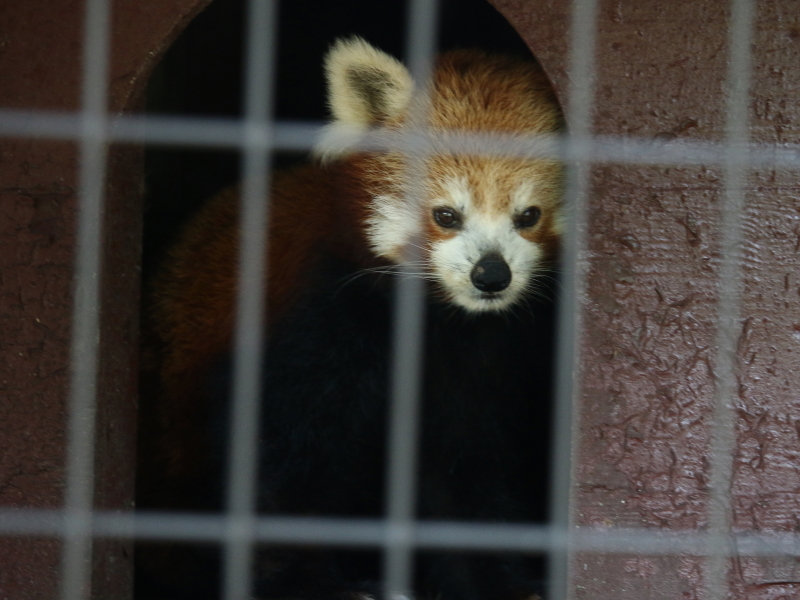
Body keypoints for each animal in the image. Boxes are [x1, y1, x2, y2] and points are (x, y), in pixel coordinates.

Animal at [138, 36, 564, 600]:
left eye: (528, 216)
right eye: (446, 215)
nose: (490, 275)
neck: (431, 319)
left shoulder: (475, 362)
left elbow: (463, 466)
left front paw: (499, 581)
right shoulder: (318, 318)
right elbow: (281, 456)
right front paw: (310, 582)